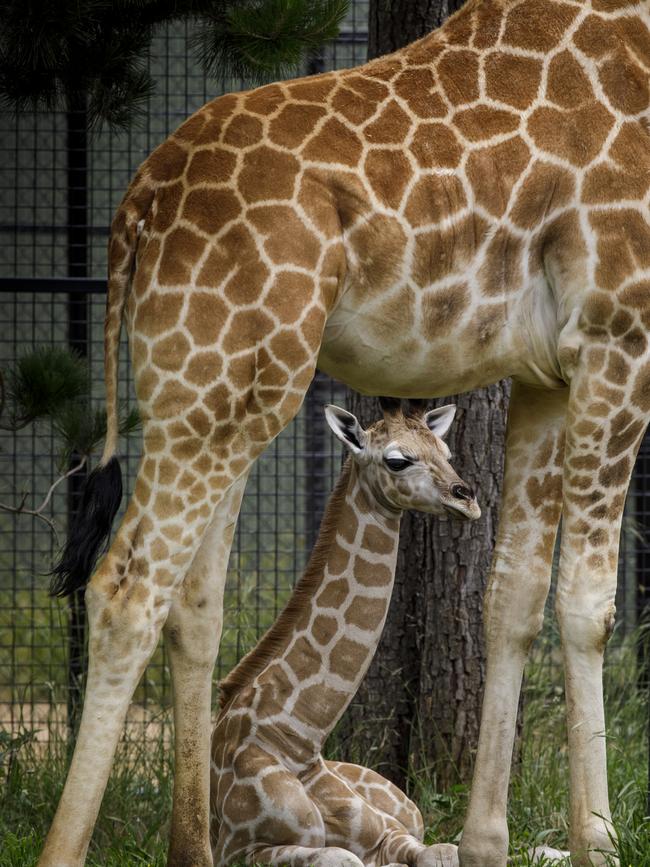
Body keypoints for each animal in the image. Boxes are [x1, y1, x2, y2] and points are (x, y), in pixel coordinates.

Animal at [210, 400, 478, 867]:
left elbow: (445, 852)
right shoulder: (238, 849)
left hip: (410, 809)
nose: (468, 499)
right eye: (397, 460)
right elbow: (339, 856)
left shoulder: (388, 835)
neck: (296, 741)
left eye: (446, 451)